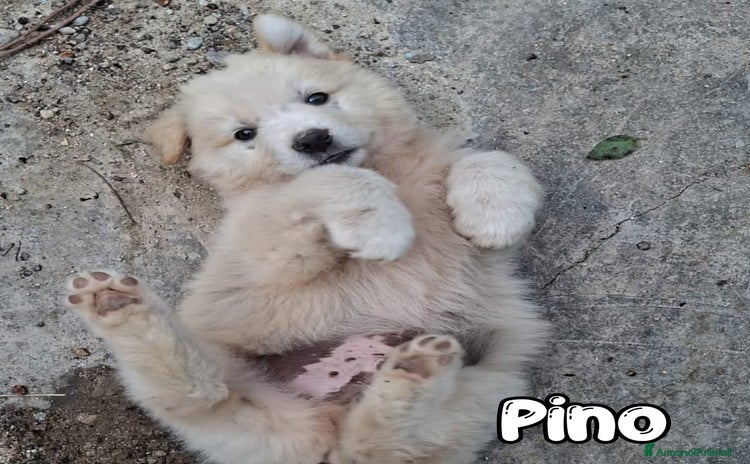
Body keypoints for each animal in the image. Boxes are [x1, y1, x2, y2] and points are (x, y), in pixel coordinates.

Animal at [65, 14, 548, 464]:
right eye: (245, 134)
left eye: (316, 97)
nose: (313, 139)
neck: (385, 169)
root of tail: (328, 428)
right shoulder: (267, 243)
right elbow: (332, 181)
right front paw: (381, 227)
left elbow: (490, 159)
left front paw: (494, 214)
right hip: (236, 397)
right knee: (201, 394)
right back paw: (116, 305)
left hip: (483, 387)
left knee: (380, 446)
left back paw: (414, 371)